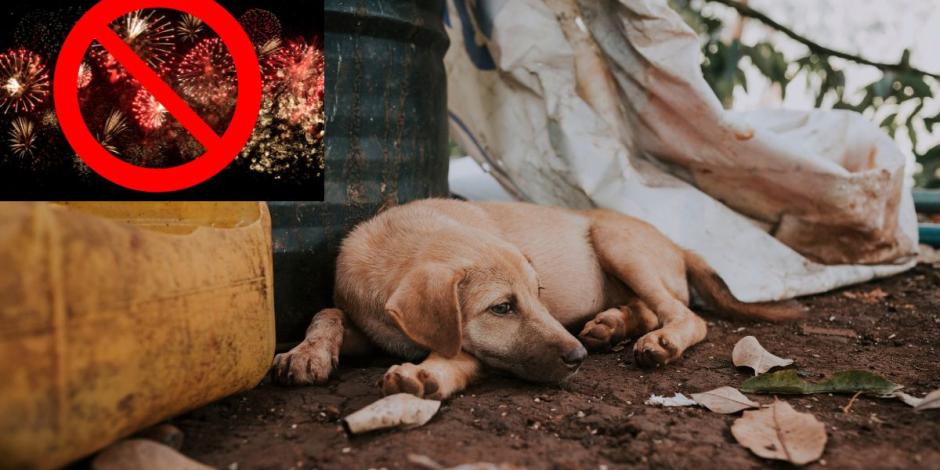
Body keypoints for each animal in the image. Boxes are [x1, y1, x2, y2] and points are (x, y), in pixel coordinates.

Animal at [272, 197, 800, 396]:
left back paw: (657, 342)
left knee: (685, 315)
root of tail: (677, 244)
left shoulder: (470, 348)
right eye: (502, 308)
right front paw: (307, 352)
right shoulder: (372, 324)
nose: (578, 358)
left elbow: (458, 355)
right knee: (651, 309)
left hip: (616, 241)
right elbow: (327, 311)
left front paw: (426, 374)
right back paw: (612, 325)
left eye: (538, 294)